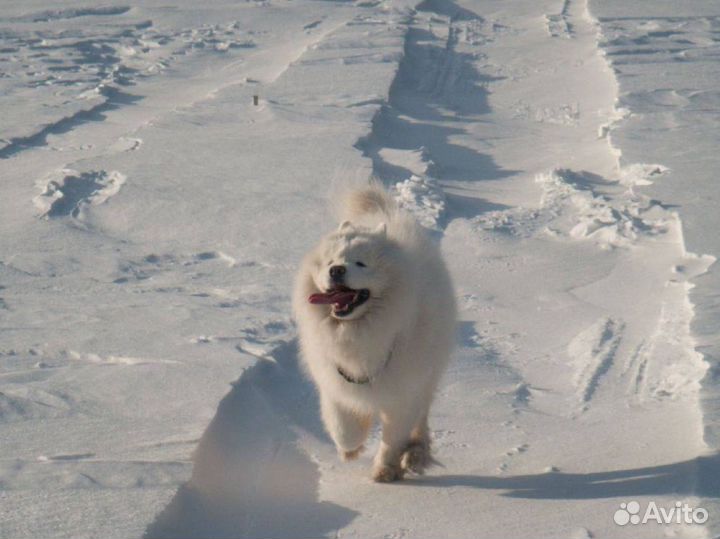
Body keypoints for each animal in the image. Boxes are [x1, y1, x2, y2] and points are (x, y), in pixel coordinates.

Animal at [292, 184, 456, 484]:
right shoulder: (334, 382)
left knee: (421, 417)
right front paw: (351, 449)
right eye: (330, 262)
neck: (359, 332)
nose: (336, 270)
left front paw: (385, 470)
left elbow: (393, 437)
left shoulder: (403, 391)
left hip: (429, 373)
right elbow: (342, 427)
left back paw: (415, 454)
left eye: (361, 263)